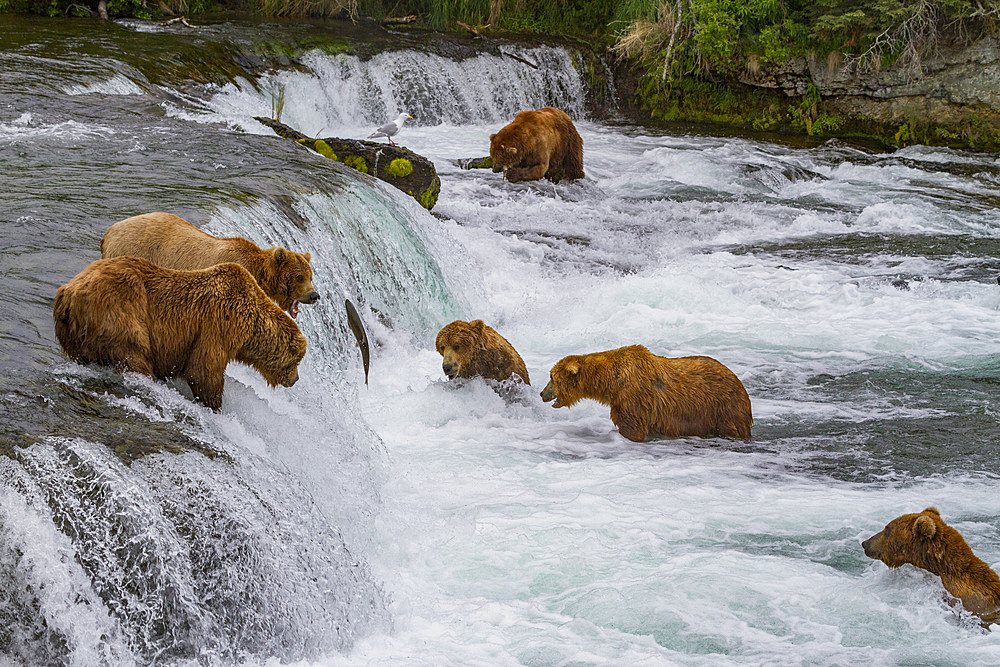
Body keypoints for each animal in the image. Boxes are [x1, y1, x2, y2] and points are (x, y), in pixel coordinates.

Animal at [53, 258, 304, 410]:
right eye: (296, 360)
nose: (295, 379)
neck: (249, 328)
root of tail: (67, 292)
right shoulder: (219, 325)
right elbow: (203, 371)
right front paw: (214, 405)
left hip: (73, 335)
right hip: (118, 314)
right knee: (134, 354)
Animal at [99, 213, 318, 320]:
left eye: (310, 276)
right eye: (299, 277)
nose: (314, 295)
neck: (260, 273)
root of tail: (110, 230)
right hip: (134, 250)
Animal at [540, 344, 752, 444]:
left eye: (552, 377)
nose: (542, 393)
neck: (611, 384)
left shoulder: (633, 398)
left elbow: (631, 428)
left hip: (723, 406)